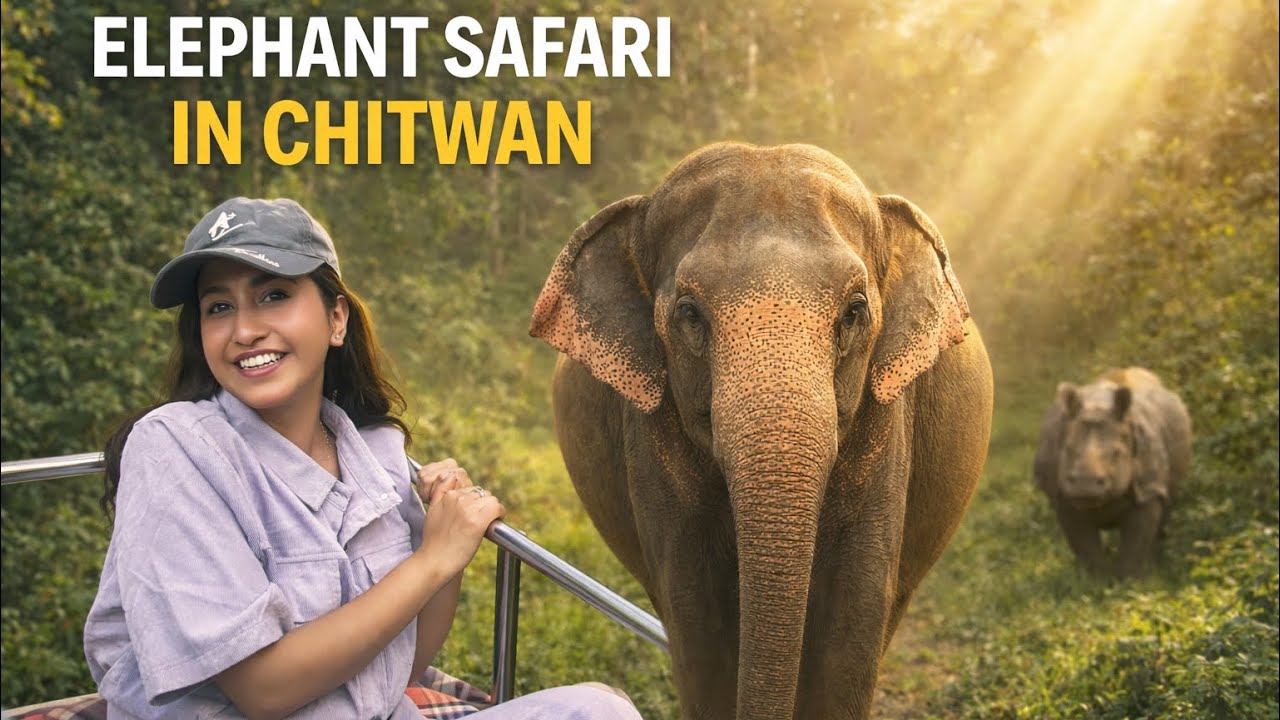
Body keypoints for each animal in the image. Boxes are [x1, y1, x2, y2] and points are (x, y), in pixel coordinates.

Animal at [529, 142, 994, 720]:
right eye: (689, 314)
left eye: (854, 312)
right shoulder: (651, 433)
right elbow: (694, 612)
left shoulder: (887, 421)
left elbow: (854, 613)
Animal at [1034, 367, 1192, 578]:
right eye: (1067, 450)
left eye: (1116, 454)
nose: (1085, 484)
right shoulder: (1063, 495)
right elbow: (1084, 545)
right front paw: (1094, 578)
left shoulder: (1148, 489)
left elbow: (1136, 543)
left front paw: (1128, 580)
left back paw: (1156, 564)